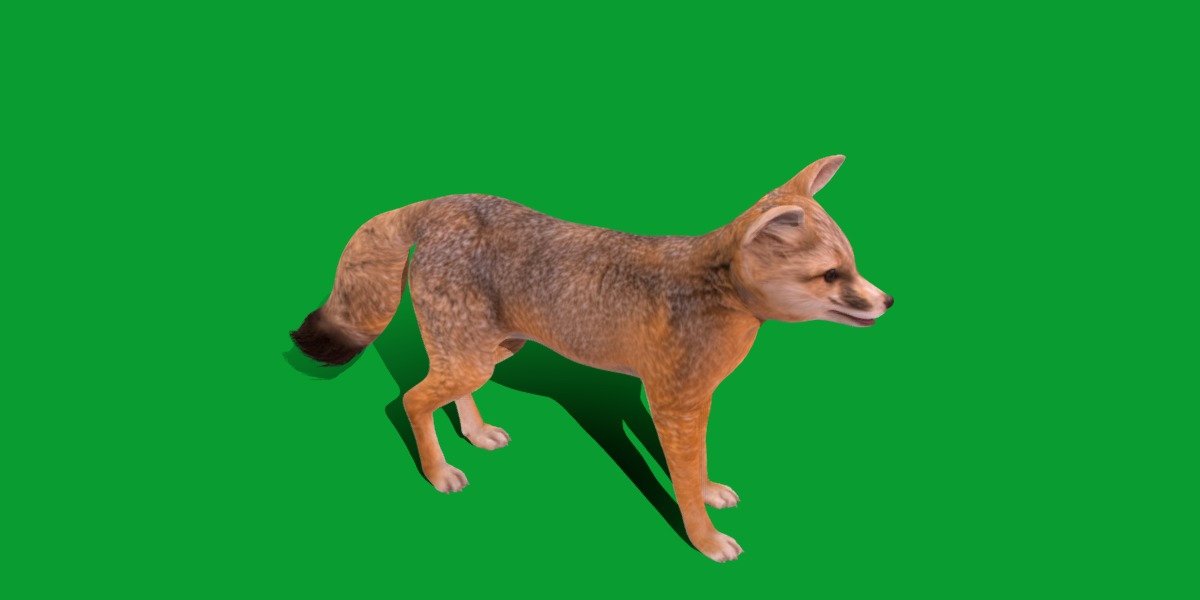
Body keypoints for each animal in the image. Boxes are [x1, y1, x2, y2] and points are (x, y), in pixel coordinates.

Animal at [291, 155, 893, 562]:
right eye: (831, 275)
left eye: (852, 266)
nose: (887, 301)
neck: (715, 292)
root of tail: (445, 203)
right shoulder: (672, 403)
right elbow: (683, 479)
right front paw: (703, 539)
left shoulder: (692, 402)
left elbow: (696, 466)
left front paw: (708, 493)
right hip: (472, 357)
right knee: (410, 401)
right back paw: (438, 472)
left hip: (486, 352)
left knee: (447, 394)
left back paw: (477, 432)